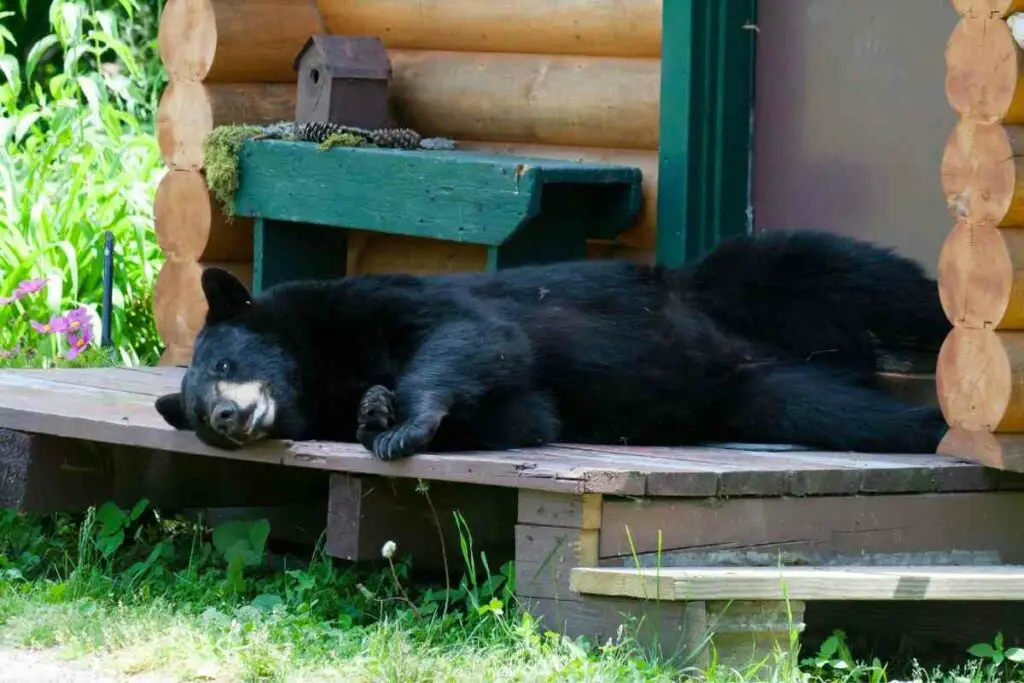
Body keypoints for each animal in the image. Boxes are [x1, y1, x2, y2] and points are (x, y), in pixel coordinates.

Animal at [151, 229, 950, 458]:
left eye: (225, 361)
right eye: (197, 415)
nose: (225, 415)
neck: (321, 368)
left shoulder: (372, 299)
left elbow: (466, 334)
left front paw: (402, 419)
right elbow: (527, 415)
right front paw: (376, 412)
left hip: (740, 283)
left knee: (857, 272)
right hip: (760, 395)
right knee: (846, 412)